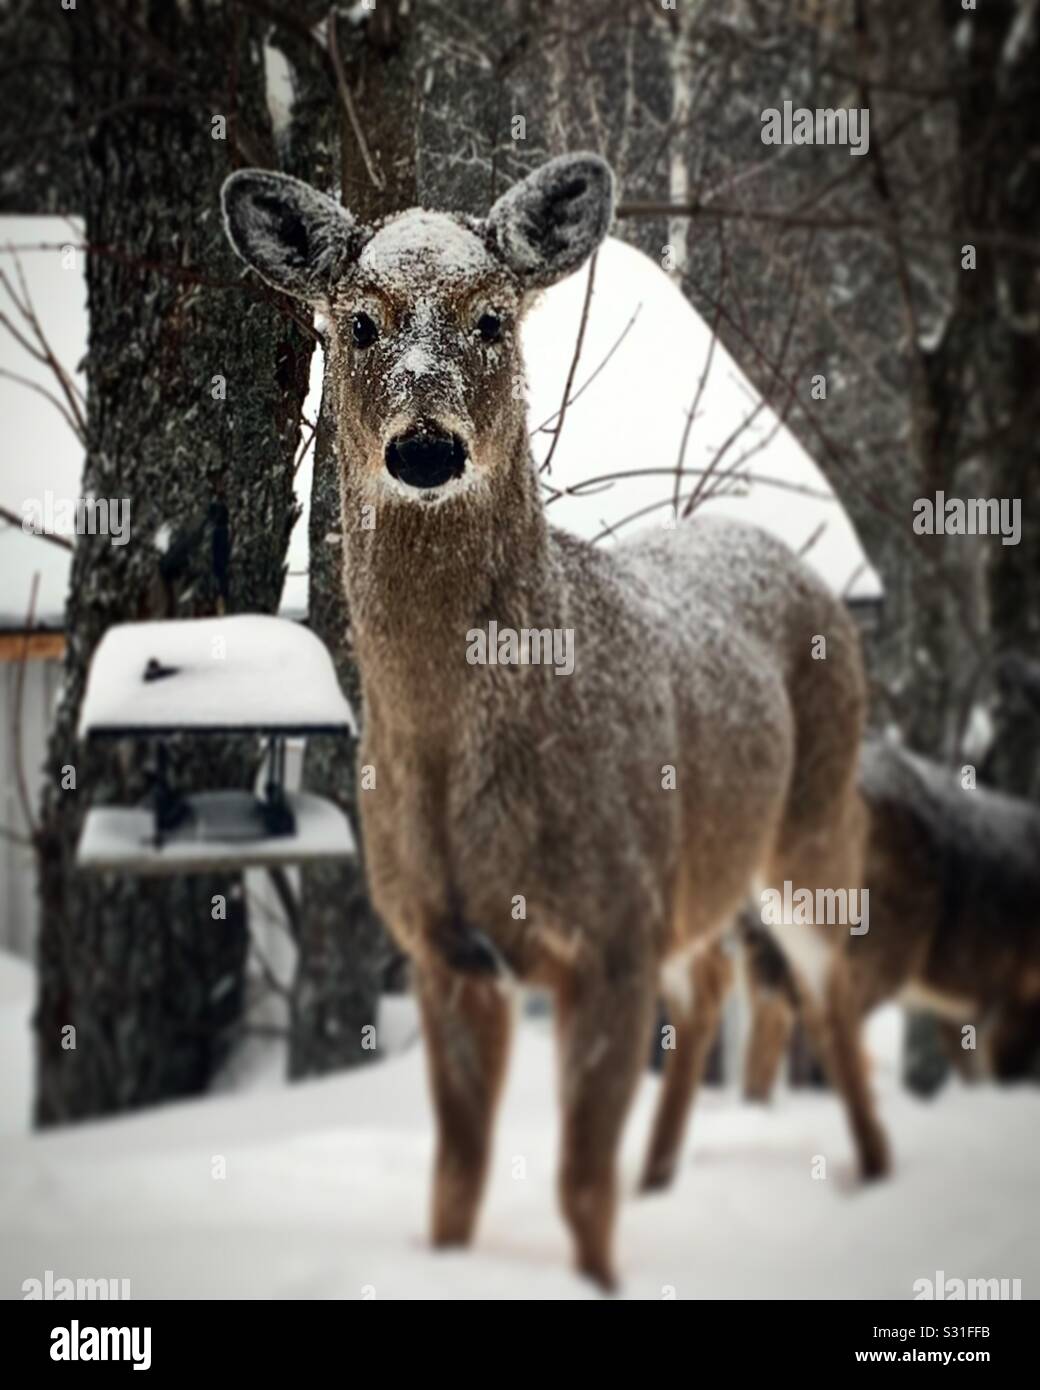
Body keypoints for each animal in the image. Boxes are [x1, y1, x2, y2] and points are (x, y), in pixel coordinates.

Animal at [223, 154, 889, 1289]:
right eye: (357, 322)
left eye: (493, 317)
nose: (427, 448)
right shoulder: (443, 948)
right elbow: (455, 1182)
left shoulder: (611, 929)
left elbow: (579, 1180)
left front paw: (601, 1276)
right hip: (694, 866)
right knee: (716, 981)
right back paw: (662, 1176)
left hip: (809, 823)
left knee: (826, 987)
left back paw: (875, 1175)